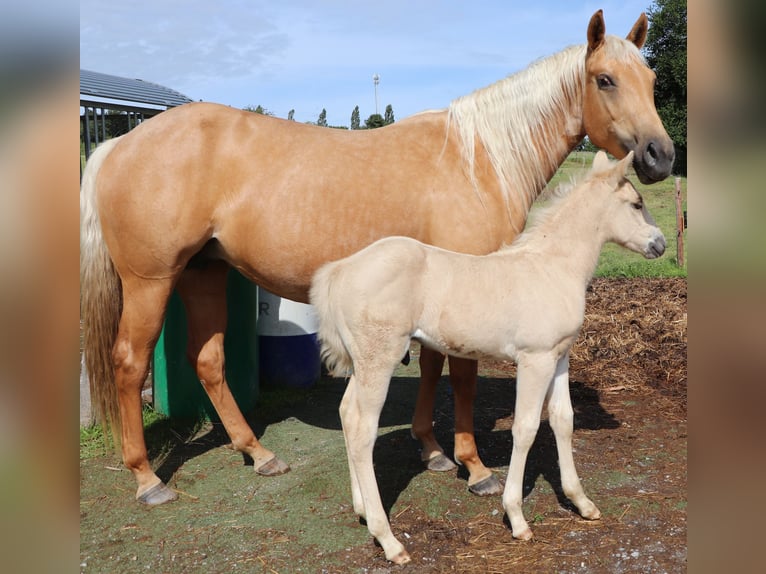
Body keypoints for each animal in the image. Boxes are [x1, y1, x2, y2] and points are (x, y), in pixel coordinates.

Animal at [310, 151, 664, 564]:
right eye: (637, 204)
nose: (660, 245)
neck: (551, 267)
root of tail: (340, 270)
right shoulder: (535, 359)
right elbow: (525, 429)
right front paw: (517, 518)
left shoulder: (560, 357)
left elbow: (563, 421)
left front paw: (582, 502)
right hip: (379, 360)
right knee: (363, 430)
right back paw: (389, 540)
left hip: (362, 364)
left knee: (347, 415)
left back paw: (363, 510)